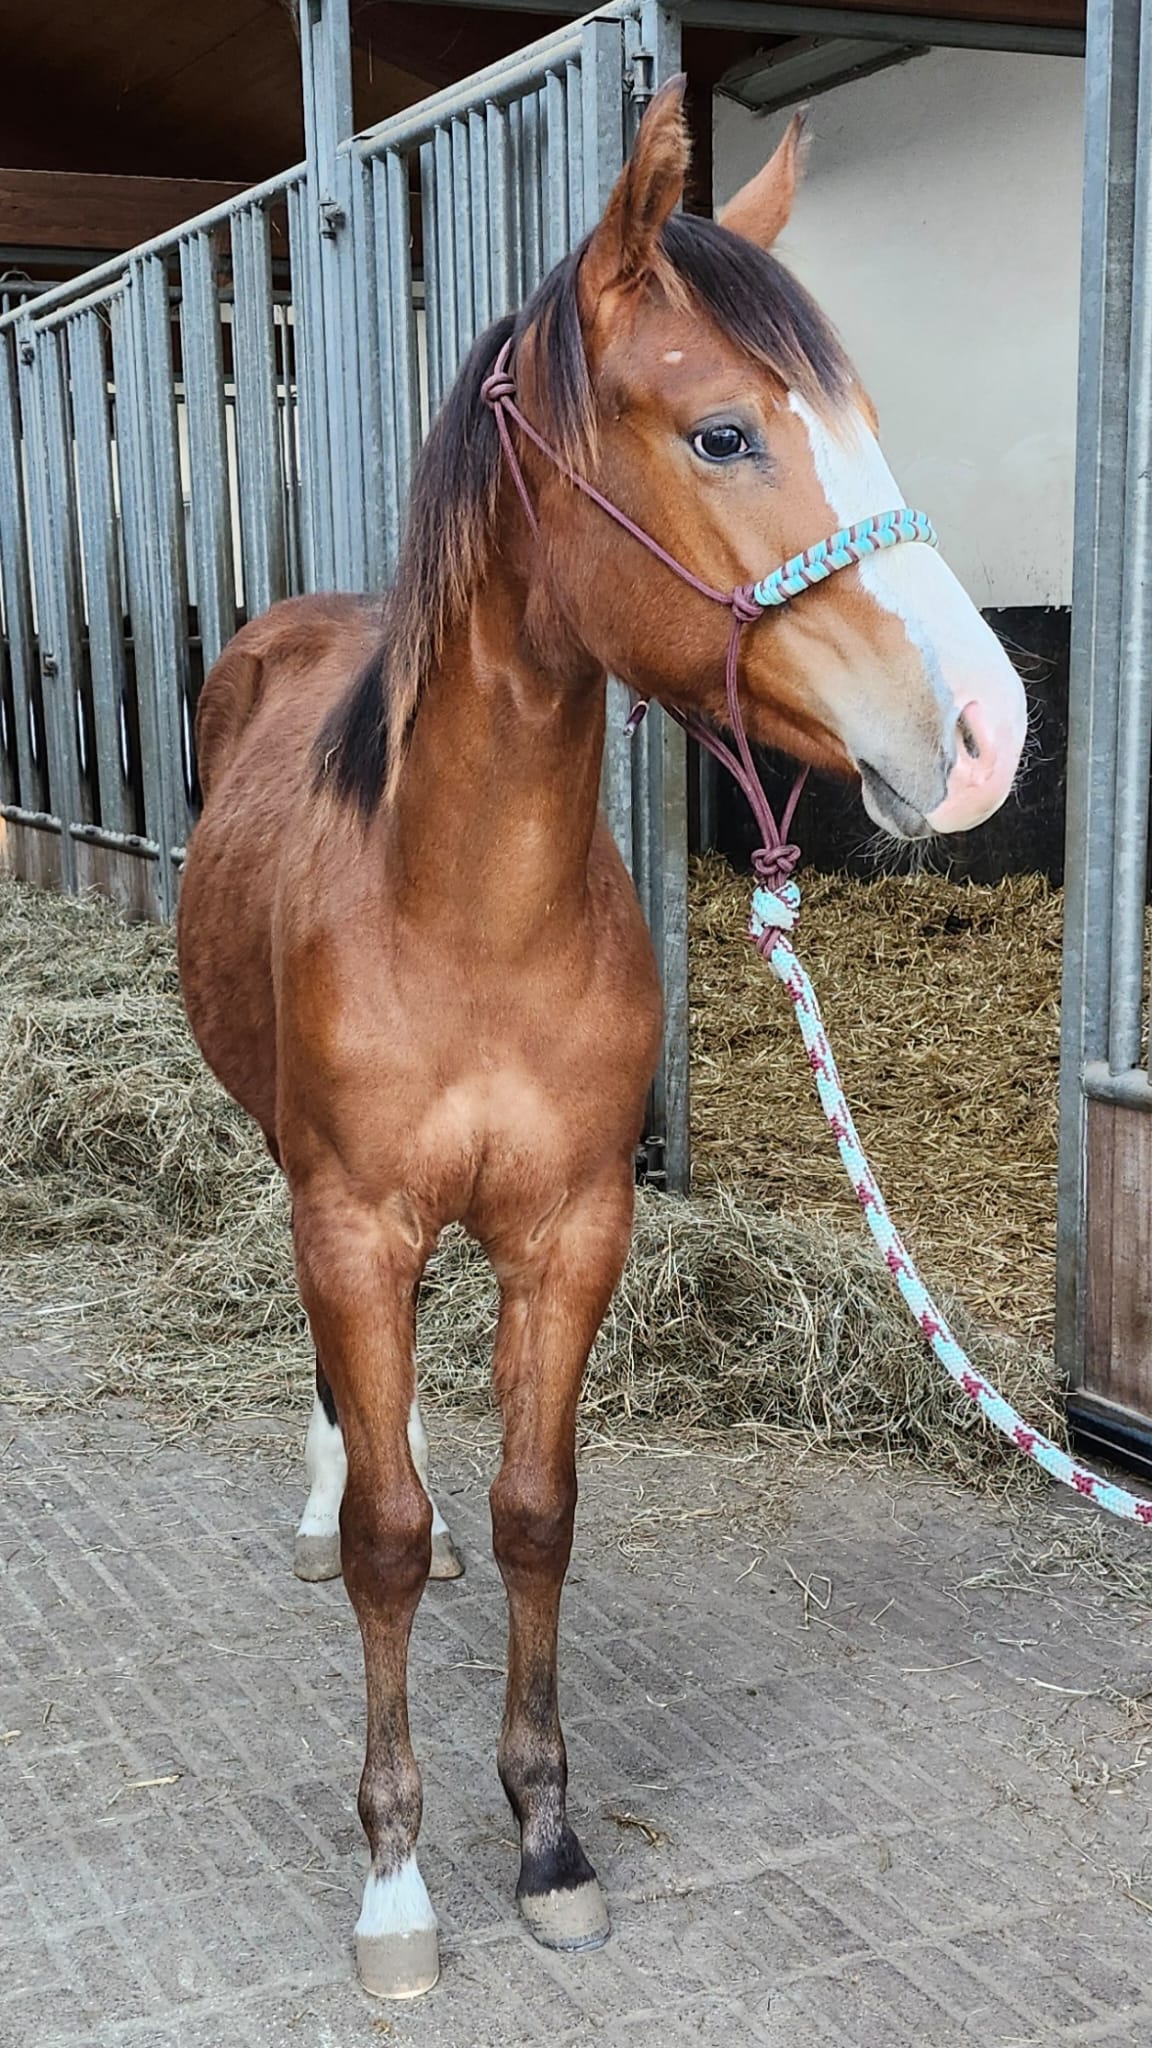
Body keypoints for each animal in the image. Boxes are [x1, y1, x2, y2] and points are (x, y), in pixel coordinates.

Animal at [177, 78, 1026, 2000]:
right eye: (721, 435)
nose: (990, 731)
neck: (464, 912)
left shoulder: (571, 1224)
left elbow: (532, 1511)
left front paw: (548, 1837)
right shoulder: (355, 1214)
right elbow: (391, 1538)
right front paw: (397, 1884)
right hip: (300, 1172)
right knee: (343, 1416)